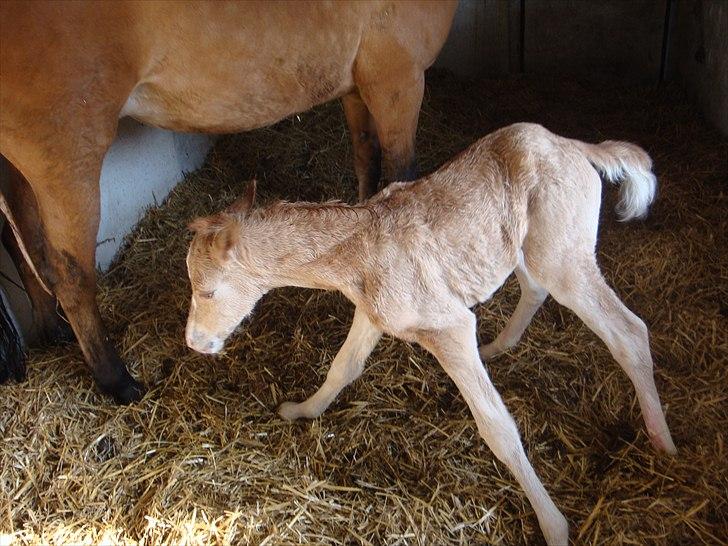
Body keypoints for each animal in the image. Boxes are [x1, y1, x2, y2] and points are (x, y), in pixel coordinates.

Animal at [185, 123, 672, 544]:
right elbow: (342, 367)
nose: (194, 341)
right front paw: (301, 411)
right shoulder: (374, 314)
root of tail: (576, 146)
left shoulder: (449, 325)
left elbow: (497, 425)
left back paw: (663, 445)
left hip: (564, 255)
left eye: (207, 290)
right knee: (535, 288)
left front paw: (553, 526)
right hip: (525, 247)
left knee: (629, 331)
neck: (355, 257)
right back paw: (498, 347)